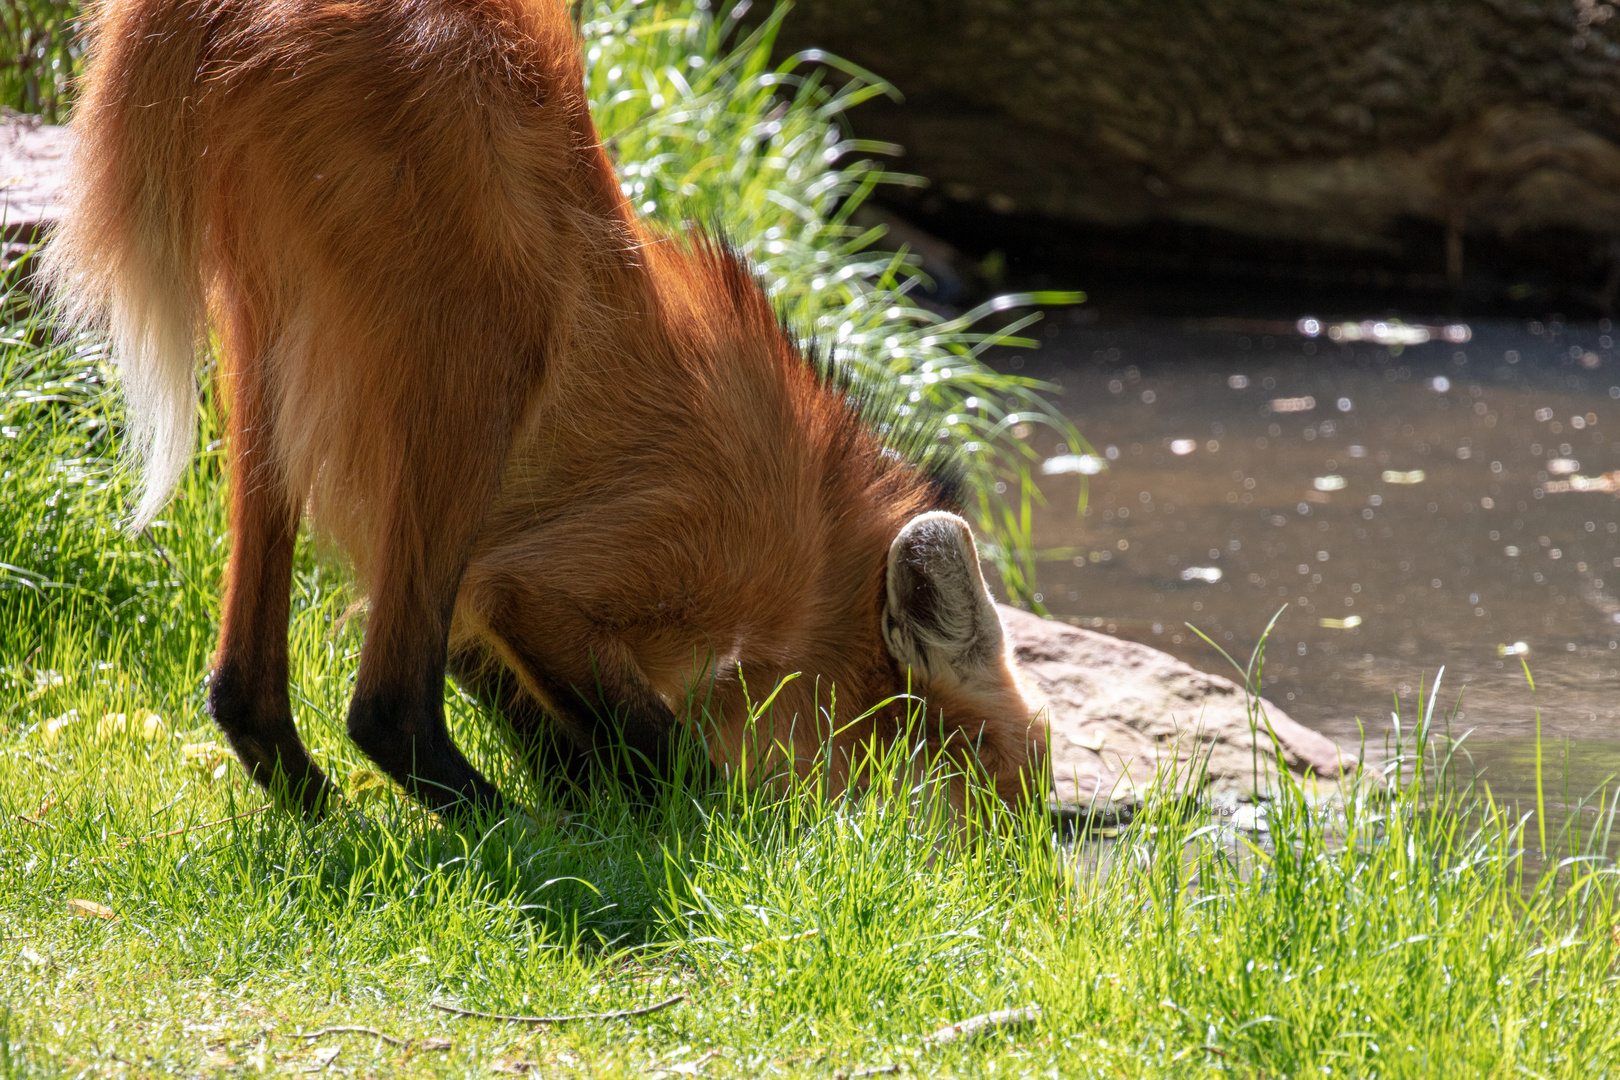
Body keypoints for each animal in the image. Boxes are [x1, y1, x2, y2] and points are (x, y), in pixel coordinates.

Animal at [47, 0, 1049, 819]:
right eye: (1001, 795)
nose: (1020, 891)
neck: (821, 570)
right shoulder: (571, 576)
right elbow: (671, 755)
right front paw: (703, 834)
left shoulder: (491, 595)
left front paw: (601, 803)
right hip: (487, 335)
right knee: (387, 707)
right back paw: (513, 837)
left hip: (264, 336)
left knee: (244, 687)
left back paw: (332, 813)